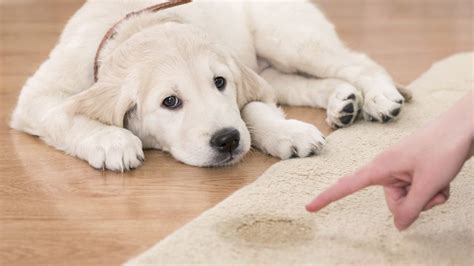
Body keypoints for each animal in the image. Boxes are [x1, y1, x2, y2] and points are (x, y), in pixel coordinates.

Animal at [11, 0, 404, 170]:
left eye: (219, 82)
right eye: (170, 102)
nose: (227, 140)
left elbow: (254, 110)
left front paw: (287, 133)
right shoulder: (37, 97)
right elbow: (65, 115)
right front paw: (112, 142)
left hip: (286, 37)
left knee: (358, 62)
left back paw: (380, 97)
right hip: (274, 63)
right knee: (299, 83)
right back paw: (344, 101)